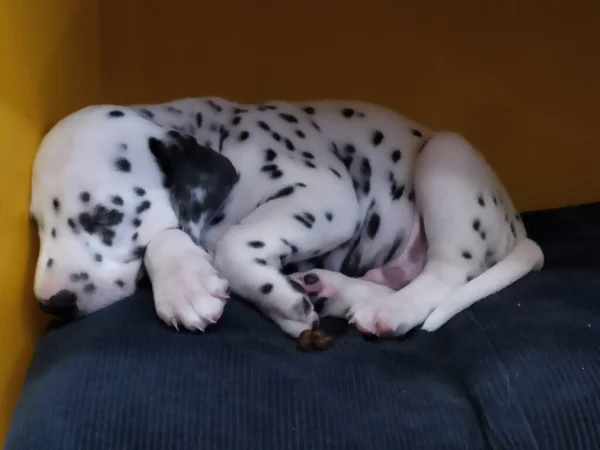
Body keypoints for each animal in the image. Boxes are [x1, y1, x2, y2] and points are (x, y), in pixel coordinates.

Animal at [29, 97, 544, 338]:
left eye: (105, 217)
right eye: (38, 227)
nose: (52, 304)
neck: (218, 137)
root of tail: (516, 223)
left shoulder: (325, 196)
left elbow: (232, 243)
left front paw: (274, 298)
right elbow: (173, 236)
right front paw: (186, 283)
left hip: (445, 156)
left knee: (446, 274)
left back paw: (391, 311)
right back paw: (333, 290)